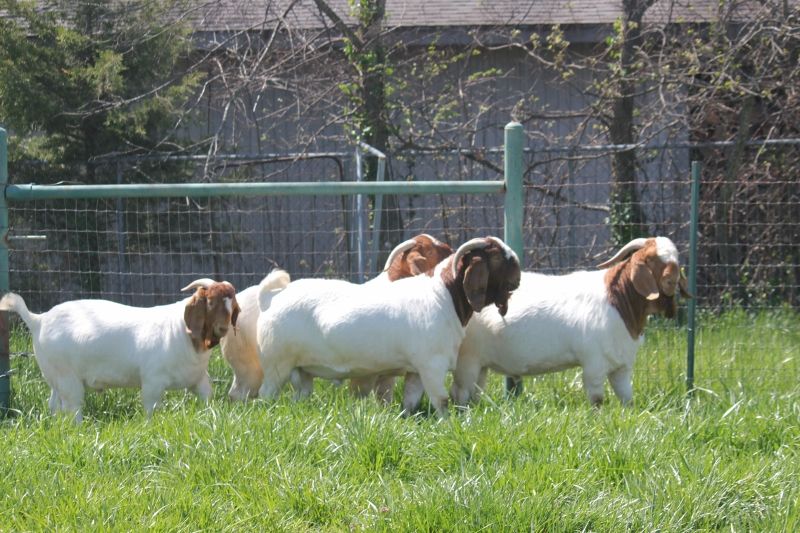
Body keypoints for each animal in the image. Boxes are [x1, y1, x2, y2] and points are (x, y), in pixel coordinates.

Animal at [0, 280, 241, 422]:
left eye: (233, 305)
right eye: (210, 303)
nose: (223, 328)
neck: (181, 331)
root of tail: (38, 320)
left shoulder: (198, 380)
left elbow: (207, 399)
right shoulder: (153, 382)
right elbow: (151, 410)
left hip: (54, 377)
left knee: (54, 405)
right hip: (68, 378)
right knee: (72, 408)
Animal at [255, 236, 520, 416]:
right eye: (497, 256)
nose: (518, 273)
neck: (443, 295)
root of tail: (270, 298)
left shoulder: (416, 370)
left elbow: (411, 400)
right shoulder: (431, 365)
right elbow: (442, 400)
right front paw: (449, 424)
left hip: (301, 371)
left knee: (300, 395)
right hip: (277, 364)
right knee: (265, 395)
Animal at [454, 235, 692, 406]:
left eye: (676, 259)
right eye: (651, 259)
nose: (671, 281)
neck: (618, 300)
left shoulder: (622, 367)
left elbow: (628, 400)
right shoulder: (594, 364)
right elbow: (597, 401)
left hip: (480, 365)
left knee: (474, 394)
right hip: (467, 361)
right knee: (461, 395)